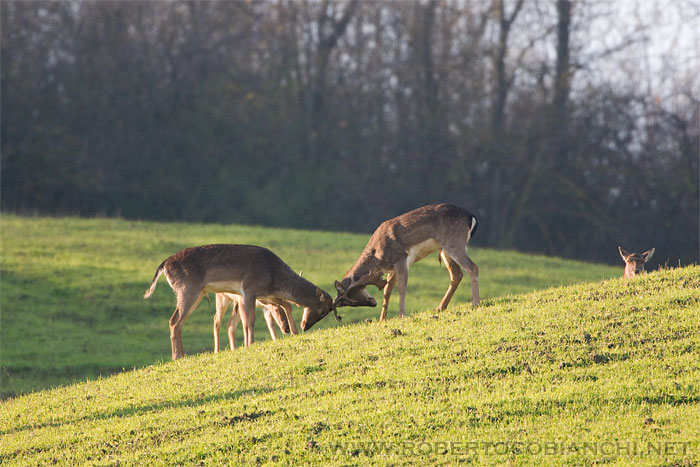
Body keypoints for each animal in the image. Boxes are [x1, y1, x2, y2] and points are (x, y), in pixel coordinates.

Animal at [144, 243, 334, 360]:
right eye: (324, 310)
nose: (305, 326)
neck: (273, 275)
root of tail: (164, 264)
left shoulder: (265, 293)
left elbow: (285, 304)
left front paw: (293, 332)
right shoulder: (249, 289)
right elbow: (250, 320)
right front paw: (250, 344)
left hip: (196, 293)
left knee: (178, 321)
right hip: (188, 290)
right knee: (174, 321)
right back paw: (178, 356)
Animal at [302, 203, 482, 330]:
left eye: (350, 300)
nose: (372, 303)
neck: (377, 253)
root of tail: (471, 217)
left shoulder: (401, 259)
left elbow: (402, 287)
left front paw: (401, 314)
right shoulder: (391, 268)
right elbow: (388, 290)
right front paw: (382, 318)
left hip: (454, 242)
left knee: (473, 267)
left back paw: (475, 303)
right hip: (445, 249)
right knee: (457, 275)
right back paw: (440, 307)